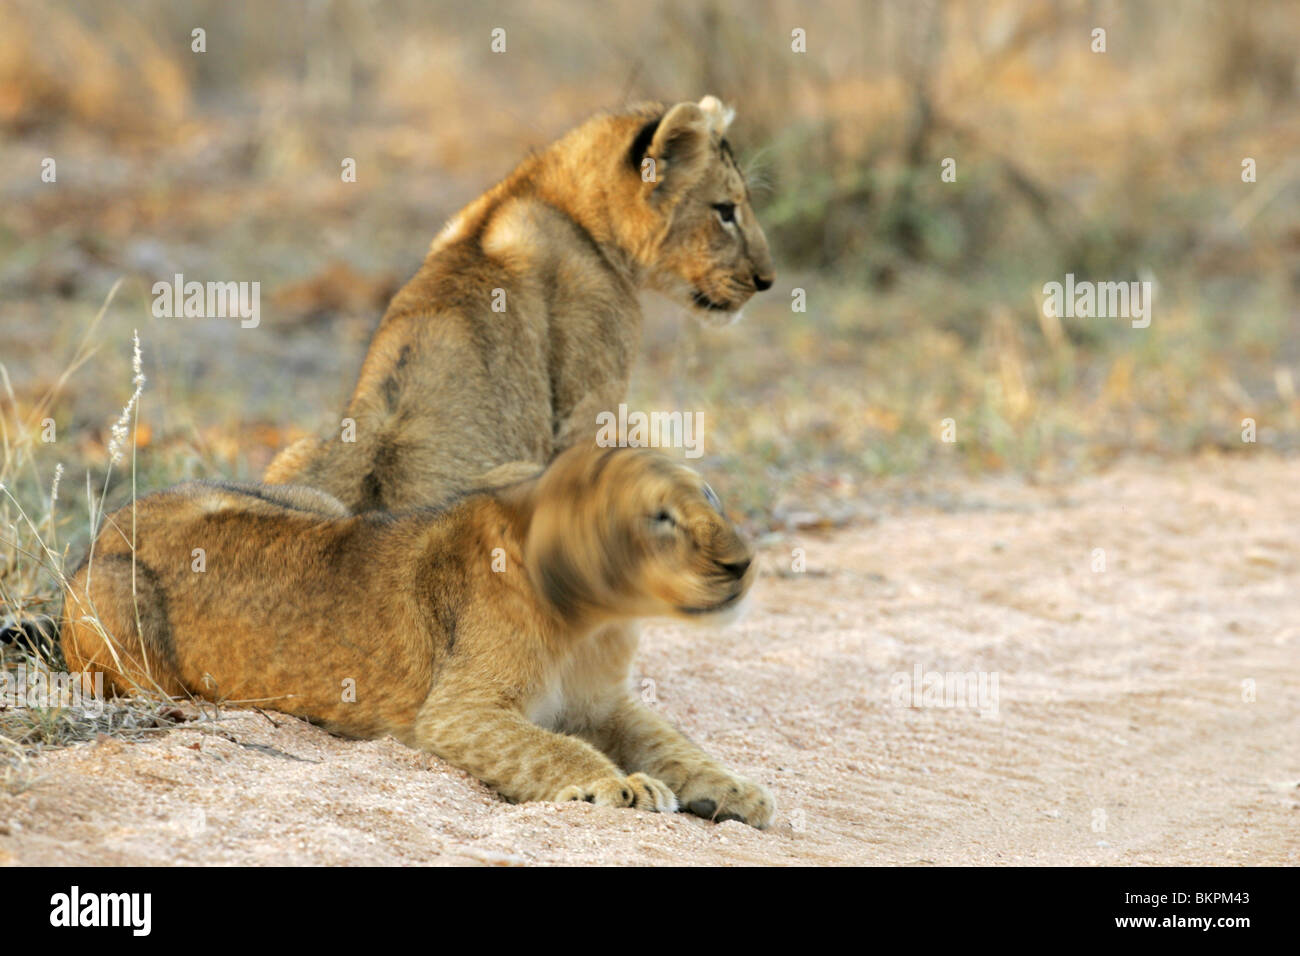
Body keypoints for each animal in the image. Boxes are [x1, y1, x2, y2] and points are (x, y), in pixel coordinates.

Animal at [61, 444, 775, 827]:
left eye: (711, 496)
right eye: (659, 518)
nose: (743, 563)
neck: (595, 621)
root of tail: (108, 524)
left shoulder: (606, 704)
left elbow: (672, 742)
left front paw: (736, 790)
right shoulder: (458, 713)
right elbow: (553, 748)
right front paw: (622, 787)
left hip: (322, 504)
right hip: (114, 601)